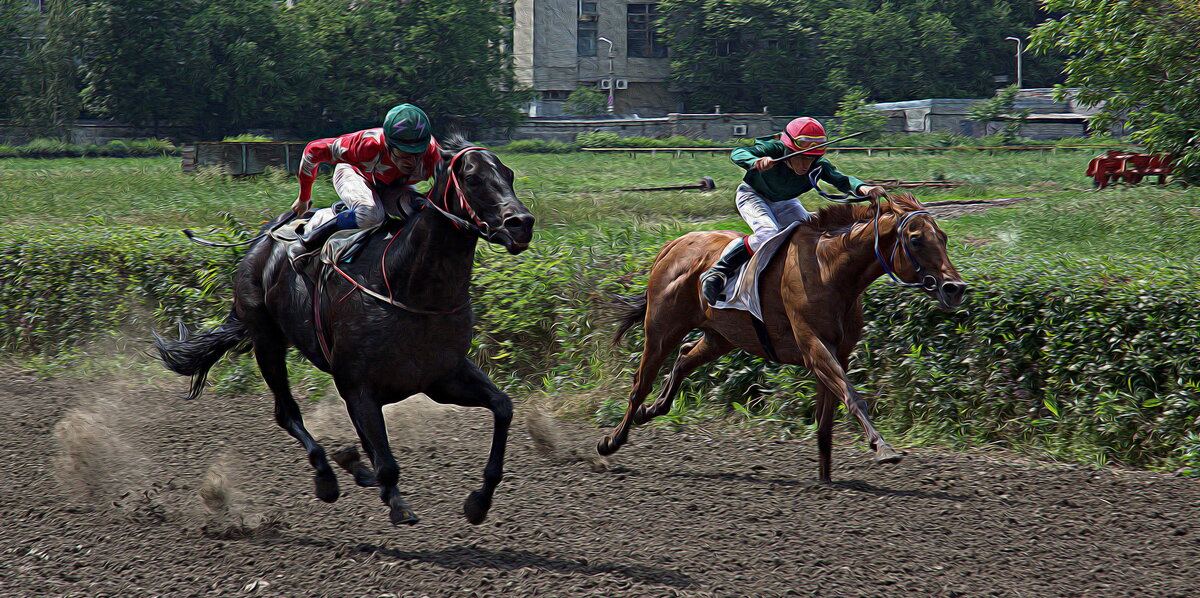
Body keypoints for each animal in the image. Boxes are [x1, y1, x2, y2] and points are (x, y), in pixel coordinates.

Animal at [153, 135, 535, 523]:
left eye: (509, 173)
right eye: (472, 178)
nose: (522, 223)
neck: (407, 287)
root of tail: (264, 239)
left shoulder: (442, 378)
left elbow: (503, 407)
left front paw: (479, 501)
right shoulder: (357, 386)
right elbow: (386, 463)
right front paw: (396, 503)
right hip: (267, 339)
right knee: (287, 413)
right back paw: (326, 477)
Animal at [600, 192, 964, 480]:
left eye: (944, 237)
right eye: (915, 239)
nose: (955, 288)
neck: (830, 269)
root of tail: (672, 244)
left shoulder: (838, 352)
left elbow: (827, 416)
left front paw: (826, 477)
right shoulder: (814, 346)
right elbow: (852, 395)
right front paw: (883, 448)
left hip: (723, 335)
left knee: (686, 356)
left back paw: (651, 411)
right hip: (662, 327)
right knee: (641, 382)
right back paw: (611, 441)